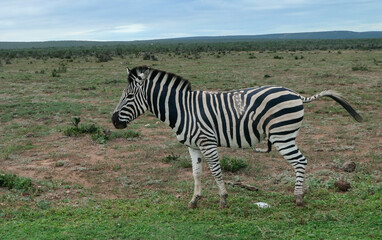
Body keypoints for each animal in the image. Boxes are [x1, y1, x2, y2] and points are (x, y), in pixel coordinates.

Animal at [112, 66, 362, 208]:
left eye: (130, 96)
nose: (114, 121)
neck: (183, 109)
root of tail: (297, 94)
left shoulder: (207, 142)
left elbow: (216, 171)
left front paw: (223, 199)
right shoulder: (193, 146)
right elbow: (196, 173)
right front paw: (194, 200)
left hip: (282, 136)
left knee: (300, 161)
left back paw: (298, 198)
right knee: (300, 162)